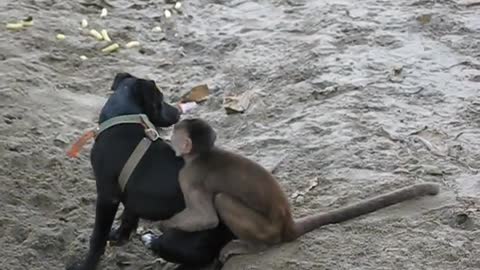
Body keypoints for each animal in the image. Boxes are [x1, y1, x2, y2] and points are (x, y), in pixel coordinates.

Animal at [67, 73, 234, 270]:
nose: (178, 113)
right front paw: (119, 237)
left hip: (177, 239)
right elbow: (128, 217)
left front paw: (86, 264)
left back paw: (152, 241)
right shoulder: (131, 195)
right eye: (160, 100)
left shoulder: (107, 196)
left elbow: (98, 237)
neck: (123, 118)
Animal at [159, 117, 440, 262]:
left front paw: (164, 226)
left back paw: (254, 246)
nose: (169, 137)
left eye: (175, 135)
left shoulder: (187, 176)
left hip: (267, 230)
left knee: (222, 200)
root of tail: (287, 224)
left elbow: (206, 218)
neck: (201, 154)